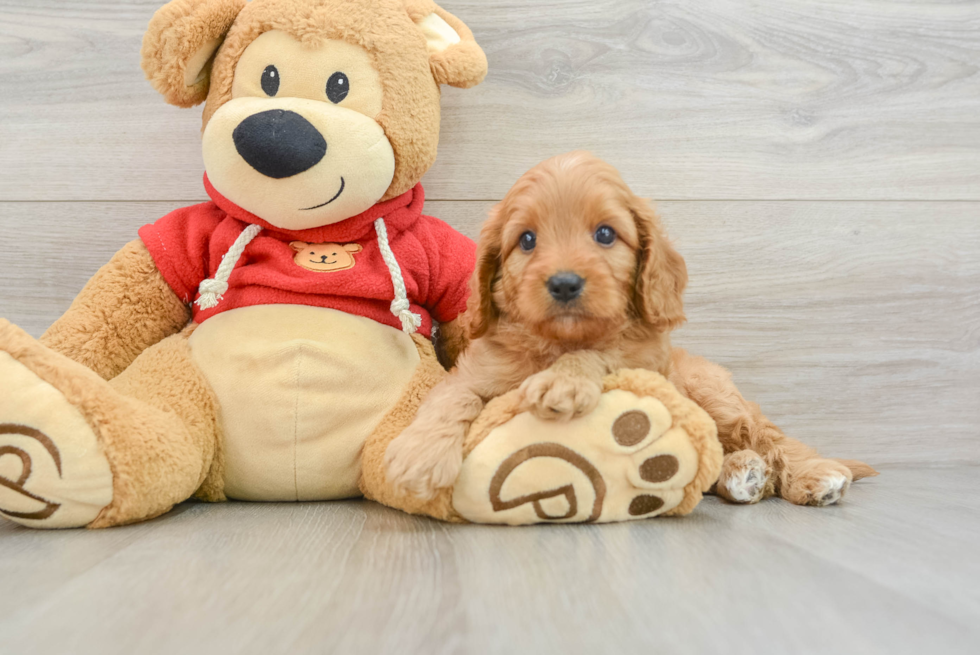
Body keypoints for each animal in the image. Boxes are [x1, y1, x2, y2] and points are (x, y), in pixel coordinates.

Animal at [386, 152, 876, 508]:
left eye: (606, 234)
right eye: (526, 240)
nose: (564, 283)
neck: (557, 341)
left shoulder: (640, 356)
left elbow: (600, 352)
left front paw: (563, 382)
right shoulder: (477, 371)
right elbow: (450, 397)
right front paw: (418, 456)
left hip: (714, 393)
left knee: (767, 435)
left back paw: (812, 474)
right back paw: (742, 474)